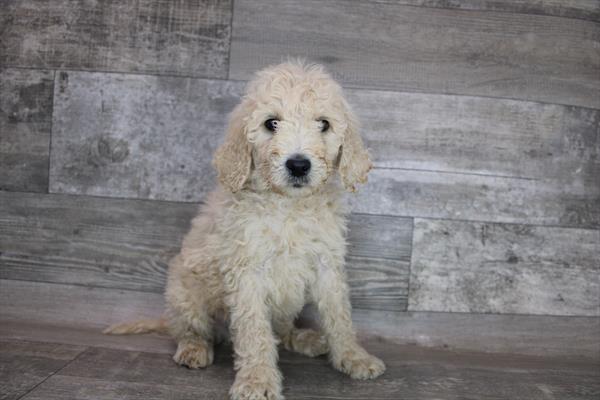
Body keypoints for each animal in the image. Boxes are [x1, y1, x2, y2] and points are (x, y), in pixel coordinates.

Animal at [106, 60, 386, 400]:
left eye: (323, 124)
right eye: (271, 123)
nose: (298, 165)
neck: (288, 207)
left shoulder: (327, 264)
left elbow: (339, 315)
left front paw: (353, 356)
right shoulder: (247, 271)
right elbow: (254, 332)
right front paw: (257, 381)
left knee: (281, 330)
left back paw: (304, 339)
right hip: (184, 292)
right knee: (191, 329)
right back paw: (194, 348)